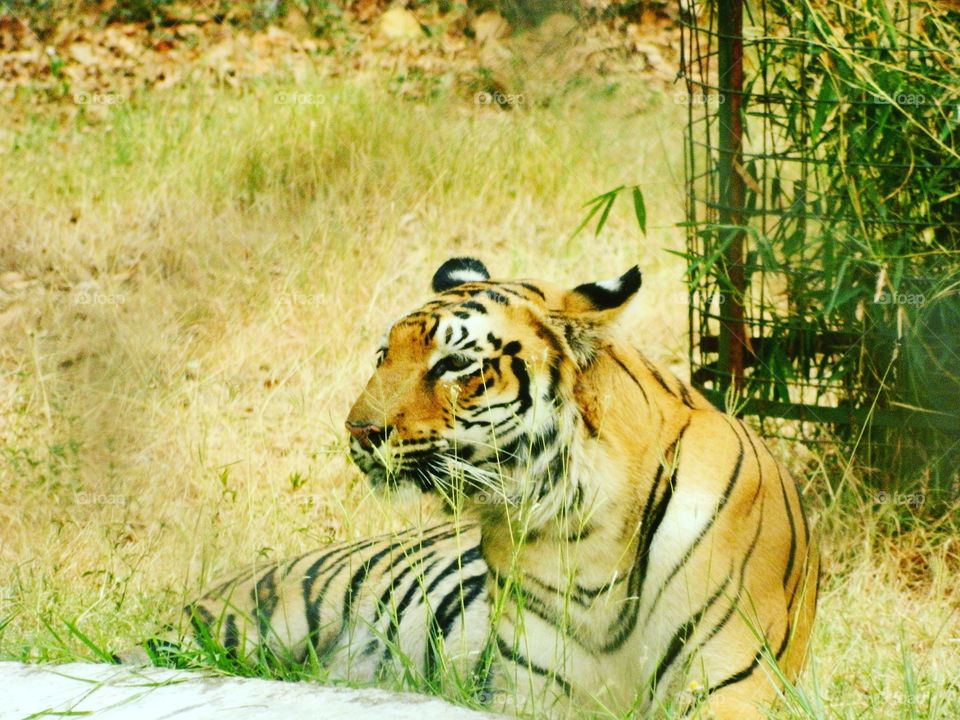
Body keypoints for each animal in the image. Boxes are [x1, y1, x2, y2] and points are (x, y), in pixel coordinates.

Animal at [140, 257, 818, 719]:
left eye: (454, 364)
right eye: (384, 356)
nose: (358, 430)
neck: (583, 530)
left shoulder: (730, 687)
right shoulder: (530, 691)